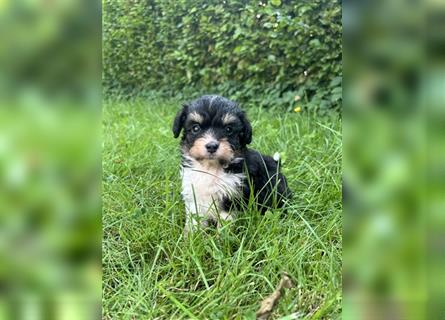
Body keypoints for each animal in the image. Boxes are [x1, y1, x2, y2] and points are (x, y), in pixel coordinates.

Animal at [173, 95, 292, 235]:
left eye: (228, 129)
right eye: (195, 128)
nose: (212, 146)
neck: (211, 168)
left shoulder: (231, 197)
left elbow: (225, 222)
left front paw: (221, 239)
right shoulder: (193, 192)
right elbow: (194, 220)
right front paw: (190, 237)